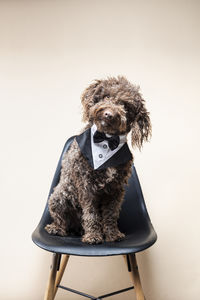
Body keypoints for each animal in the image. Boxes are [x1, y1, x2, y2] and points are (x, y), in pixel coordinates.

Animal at [45, 75, 152, 244]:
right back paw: (56, 228)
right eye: (106, 96)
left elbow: (111, 213)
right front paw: (93, 236)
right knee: (60, 219)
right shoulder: (86, 185)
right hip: (60, 195)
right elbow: (91, 213)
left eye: (125, 105)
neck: (106, 139)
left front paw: (112, 234)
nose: (109, 113)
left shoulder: (116, 188)